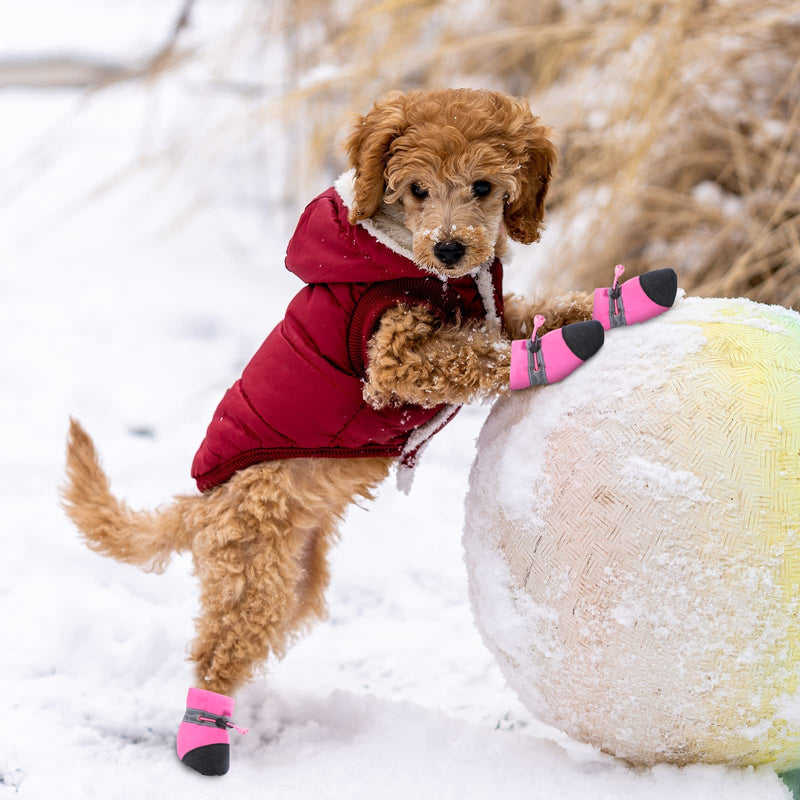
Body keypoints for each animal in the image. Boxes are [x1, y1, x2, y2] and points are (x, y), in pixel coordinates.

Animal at [62, 87, 672, 776]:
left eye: (484, 186)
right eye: (417, 189)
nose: (451, 248)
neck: (416, 263)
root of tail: (199, 508)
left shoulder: (492, 309)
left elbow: (529, 313)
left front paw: (624, 299)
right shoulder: (390, 359)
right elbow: (474, 356)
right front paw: (558, 351)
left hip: (293, 580)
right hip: (251, 567)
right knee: (218, 652)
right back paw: (204, 739)